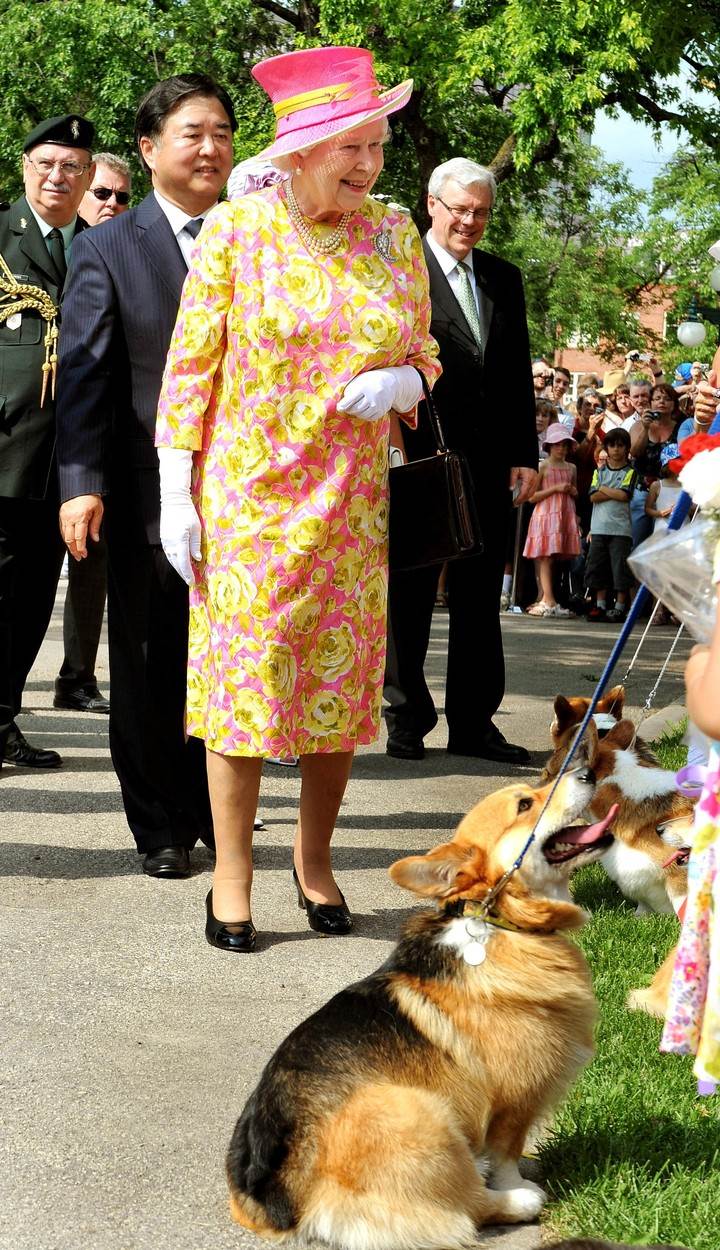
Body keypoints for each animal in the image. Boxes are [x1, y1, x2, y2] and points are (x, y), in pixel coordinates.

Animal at [226, 765, 620, 1245]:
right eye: (525, 804)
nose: (589, 770)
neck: (497, 917)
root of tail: (278, 1200)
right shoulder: (515, 1099)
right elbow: (507, 1153)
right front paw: (516, 1182)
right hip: (423, 1113)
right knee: (468, 1206)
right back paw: (518, 1201)